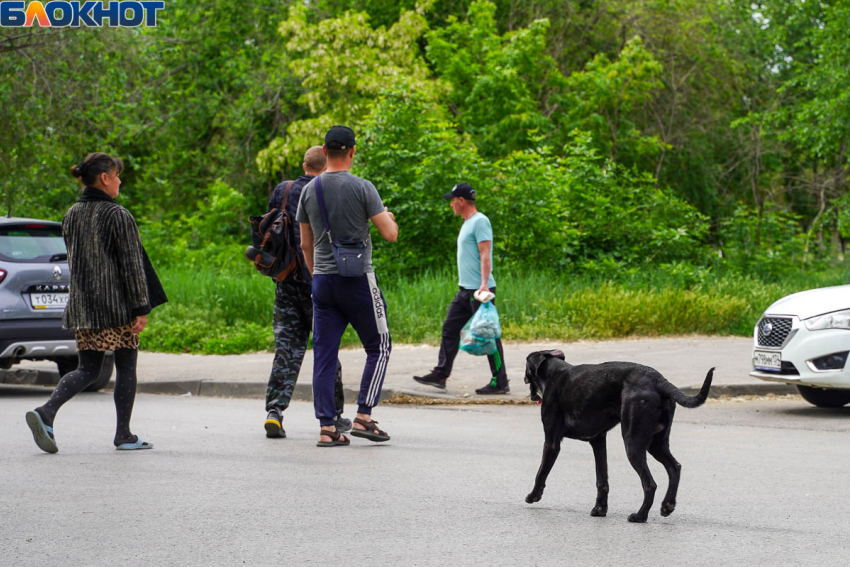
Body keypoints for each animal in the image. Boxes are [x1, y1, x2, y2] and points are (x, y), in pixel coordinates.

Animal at [520, 350, 712, 524]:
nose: (524, 379)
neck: (554, 373)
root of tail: (658, 379)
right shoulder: (598, 441)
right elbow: (602, 479)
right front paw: (600, 508)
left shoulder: (551, 442)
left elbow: (541, 472)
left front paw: (533, 496)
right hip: (656, 443)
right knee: (674, 467)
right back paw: (667, 505)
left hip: (633, 443)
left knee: (650, 484)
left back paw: (640, 516)